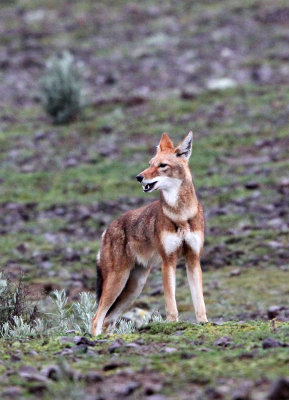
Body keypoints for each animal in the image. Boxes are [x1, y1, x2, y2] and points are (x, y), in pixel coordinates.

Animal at [91, 131, 206, 334]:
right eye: (150, 163)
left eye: (162, 165)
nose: (138, 177)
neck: (181, 214)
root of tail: (107, 229)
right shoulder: (168, 261)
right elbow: (171, 304)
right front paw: (173, 325)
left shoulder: (193, 259)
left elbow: (199, 303)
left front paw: (204, 324)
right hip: (118, 282)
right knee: (97, 318)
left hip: (133, 288)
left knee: (107, 319)